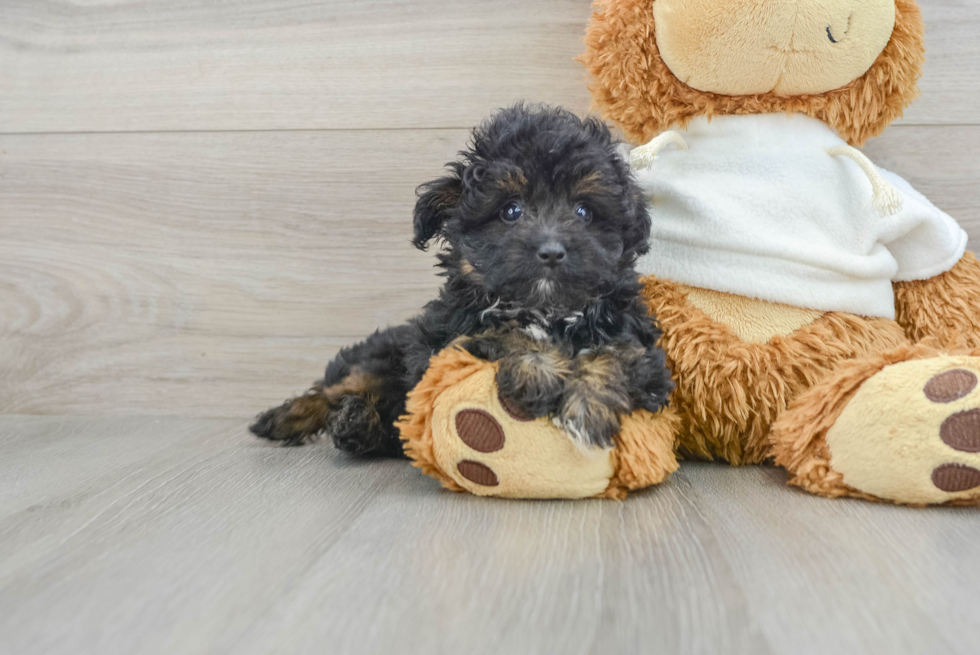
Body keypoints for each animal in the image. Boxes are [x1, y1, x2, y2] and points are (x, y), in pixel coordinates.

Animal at [251, 105, 672, 458]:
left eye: (584, 211)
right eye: (511, 211)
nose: (551, 252)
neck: (546, 309)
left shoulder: (640, 344)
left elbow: (616, 353)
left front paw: (588, 408)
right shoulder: (445, 340)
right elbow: (502, 332)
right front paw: (538, 370)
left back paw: (358, 425)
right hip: (386, 355)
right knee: (339, 385)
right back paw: (291, 418)